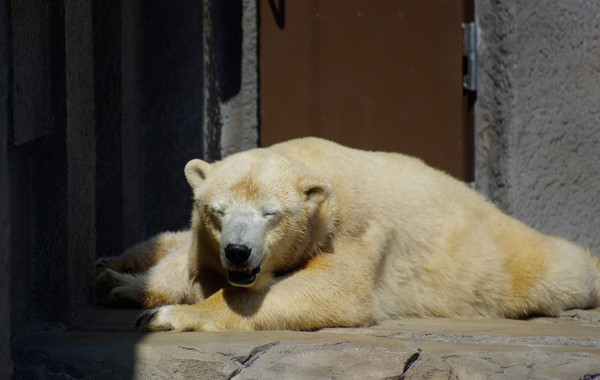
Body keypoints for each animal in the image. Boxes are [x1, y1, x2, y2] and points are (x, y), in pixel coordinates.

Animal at [95, 138, 600, 332]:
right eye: (218, 211)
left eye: (271, 213)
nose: (238, 252)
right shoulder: (204, 238)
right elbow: (187, 259)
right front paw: (132, 288)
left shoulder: (353, 229)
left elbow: (333, 291)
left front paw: (167, 316)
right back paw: (112, 272)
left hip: (498, 261)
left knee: (556, 269)